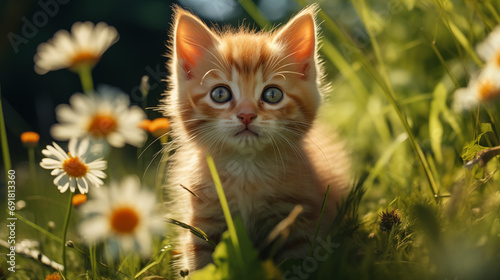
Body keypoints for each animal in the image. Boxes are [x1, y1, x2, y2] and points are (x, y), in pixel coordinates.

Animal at [162, 4, 350, 274]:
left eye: (272, 95)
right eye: (220, 94)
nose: (247, 115)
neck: (246, 171)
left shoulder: (297, 221)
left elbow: (297, 263)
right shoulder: (204, 223)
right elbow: (202, 266)